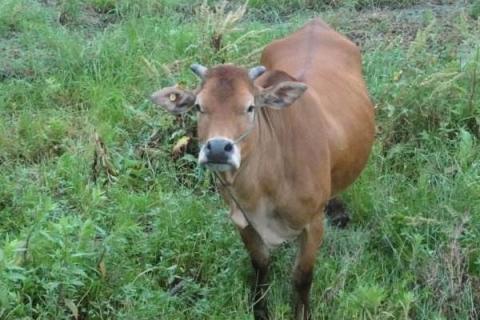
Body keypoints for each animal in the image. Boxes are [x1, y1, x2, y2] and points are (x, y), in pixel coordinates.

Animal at [150, 18, 376, 318]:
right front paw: (260, 310)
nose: (218, 148)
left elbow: (302, 276)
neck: (264, 188)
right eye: (198, 106)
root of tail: (316, 23)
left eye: (250, 107)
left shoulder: (313, 224)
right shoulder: (242, 221)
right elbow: (260, 266)